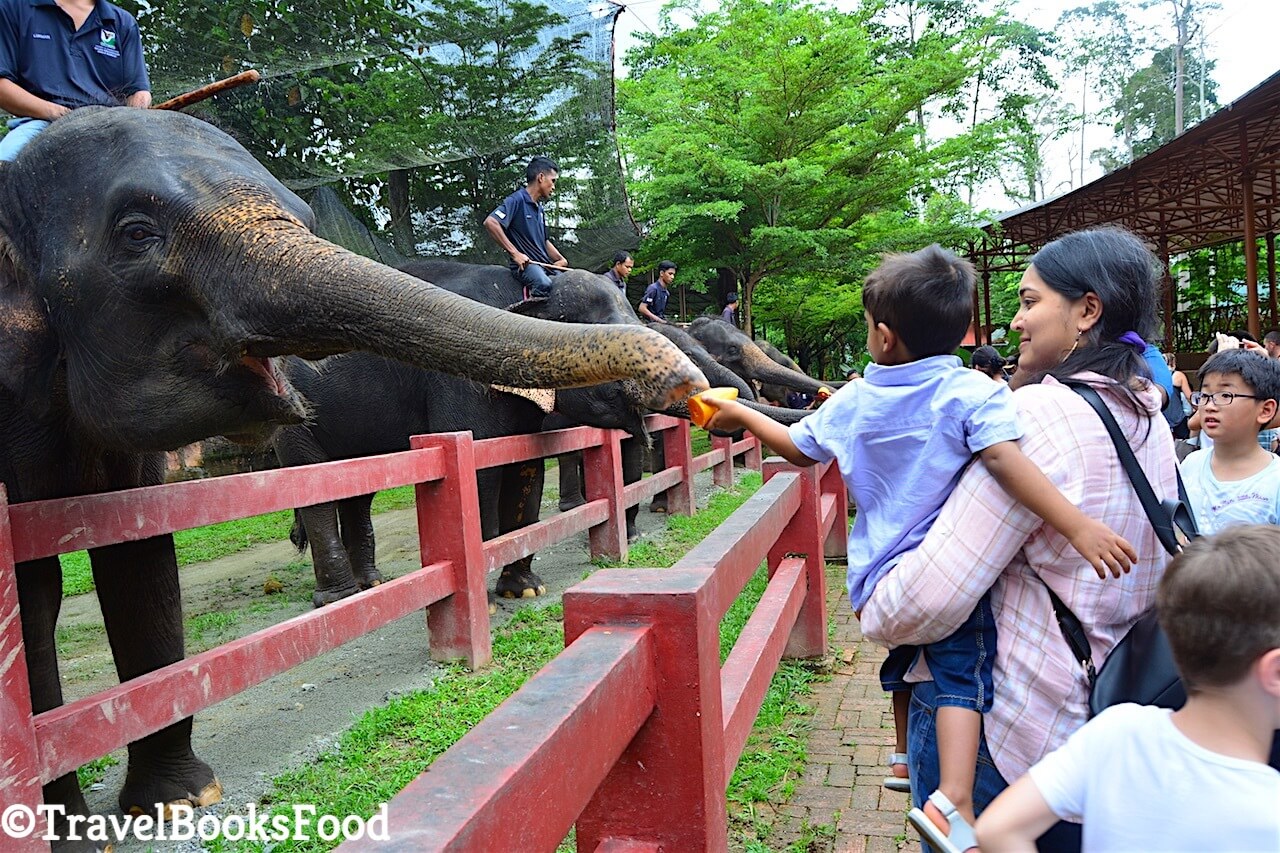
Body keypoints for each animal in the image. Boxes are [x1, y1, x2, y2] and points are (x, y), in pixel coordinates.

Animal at [273, 258, 665, 604]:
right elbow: (479, 477)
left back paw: (370, 584)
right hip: (294, 420)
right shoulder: (459, 384)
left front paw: (525, 591)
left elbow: (527, 471)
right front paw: (491, 599)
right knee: (315, 489)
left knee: (358, 491)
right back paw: (338, 598)